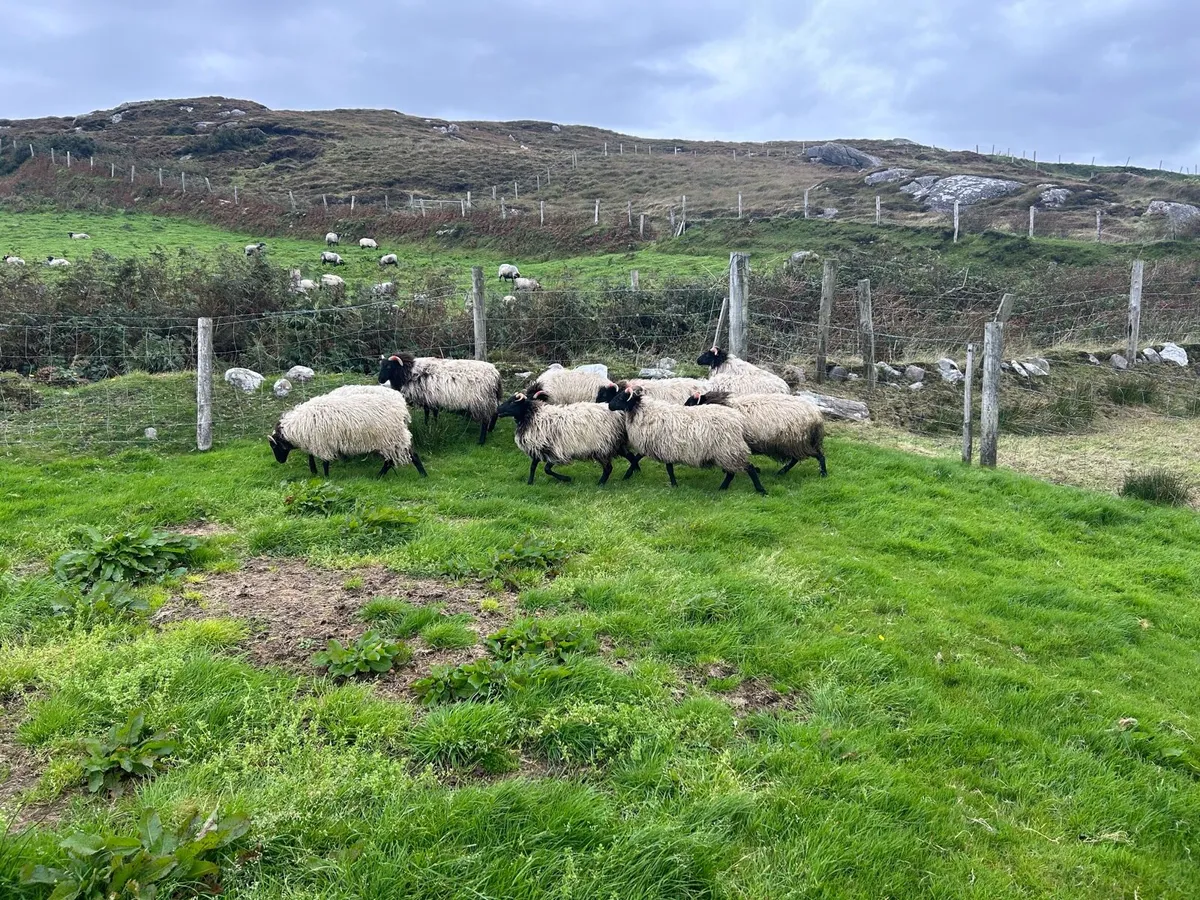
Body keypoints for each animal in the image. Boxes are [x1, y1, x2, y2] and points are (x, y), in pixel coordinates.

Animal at [269, 384, 426, 479]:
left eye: (274, 447)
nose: (280, 461)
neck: (297, 426)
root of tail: (401, 408)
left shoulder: (322, 442)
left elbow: (324, 461)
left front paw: (325, 477)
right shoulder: (317, 441)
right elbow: (311, 455)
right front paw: (315, 471)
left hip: (391, 438)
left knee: (402, 457)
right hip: (390, 439)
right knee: (393, 460)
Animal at [496, 390, 639, 485]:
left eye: (512, 402)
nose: (497, 409)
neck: (533, 415)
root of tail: (619, 415)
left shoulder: (555, 450)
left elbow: (547, 469)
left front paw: (566, 479)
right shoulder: (539, 447)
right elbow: (533, 466)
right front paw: (530, 482)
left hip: (602, 446)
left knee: (609, 468)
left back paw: (600, 484)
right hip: (615, 443)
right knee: (631, 457)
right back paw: (632, 473)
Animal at [607, 384, 766, 494]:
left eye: (621, 397)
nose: (609, 406)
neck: (643, 412)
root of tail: (739, 421)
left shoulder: (662, 446)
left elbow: (664, 467)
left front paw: (674, 484)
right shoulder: (658, 446)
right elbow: (638, 459)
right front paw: (628, 475)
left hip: (729, 449)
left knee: (748, 468)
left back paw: (760, 490)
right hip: (727, 452)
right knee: (732, 473)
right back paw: (722, 488)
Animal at [685, 391, 826, 477]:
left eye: (690, 403)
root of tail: (816, 414)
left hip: (796, 441)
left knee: (816, 455)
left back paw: (822, 473)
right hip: (798, 442)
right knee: (801, 457)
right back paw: (782, 472)